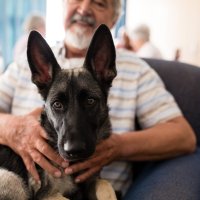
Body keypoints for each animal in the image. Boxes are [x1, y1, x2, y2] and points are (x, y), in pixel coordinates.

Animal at [0, 23, 116, 200]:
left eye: (90, 101)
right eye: (57, 104)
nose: (74, 150)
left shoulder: (92, 181)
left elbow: (105, 185)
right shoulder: (45, 195)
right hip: (11, 178)